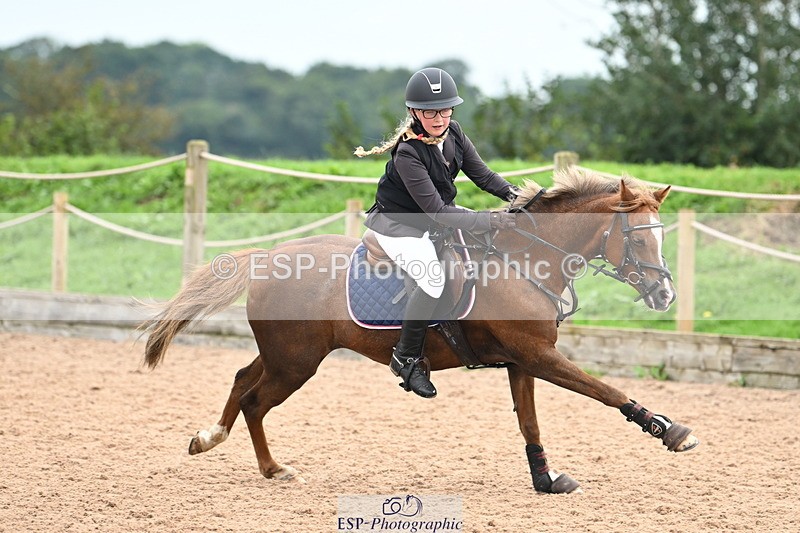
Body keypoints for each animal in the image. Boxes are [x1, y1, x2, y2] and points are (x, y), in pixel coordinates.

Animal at [140, 168, 699, 494]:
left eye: (660, 236)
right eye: (637, 239)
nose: (664, 295)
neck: (524, 260)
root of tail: (268, 258)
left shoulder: (523, 360)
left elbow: (530, 424)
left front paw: (545, 479)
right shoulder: (538, 356)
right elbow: (604, 391)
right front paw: (668, 430)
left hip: (286, 354)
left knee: (241, 380)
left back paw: (208, 438)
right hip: (296, 363)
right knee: (256, 401)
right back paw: (273, 468)